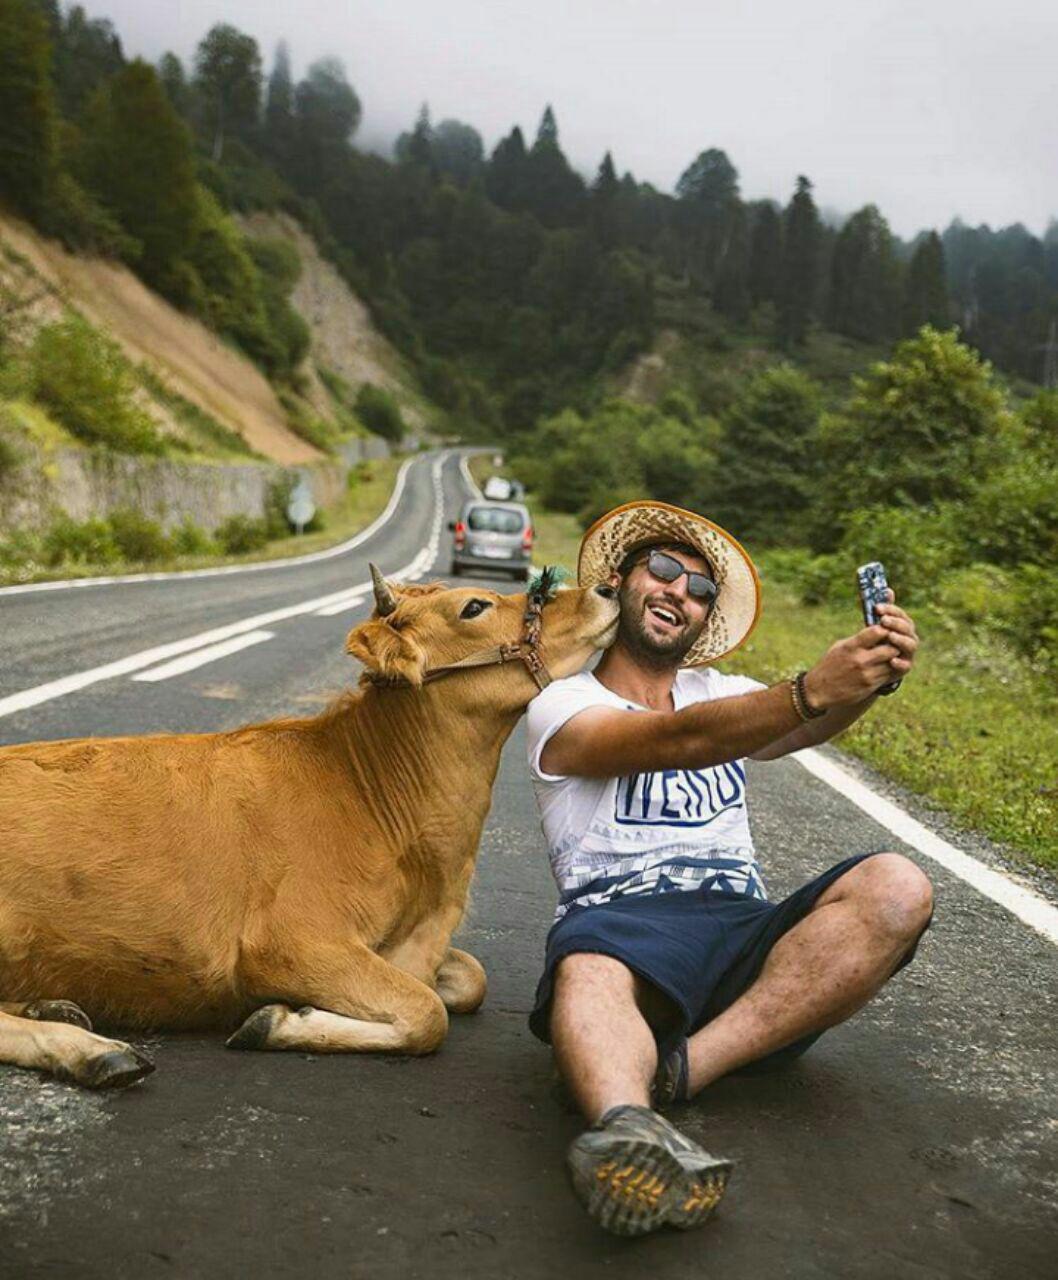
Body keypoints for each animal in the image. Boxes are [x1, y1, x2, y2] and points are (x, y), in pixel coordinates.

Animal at [0, 570, 621, 1090]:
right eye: (474, 606)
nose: (605, 589)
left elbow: (470, 979)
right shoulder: (287, 942)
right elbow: (426, 1012)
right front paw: (276, 1021)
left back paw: (53, 1007)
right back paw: (90, 1049)